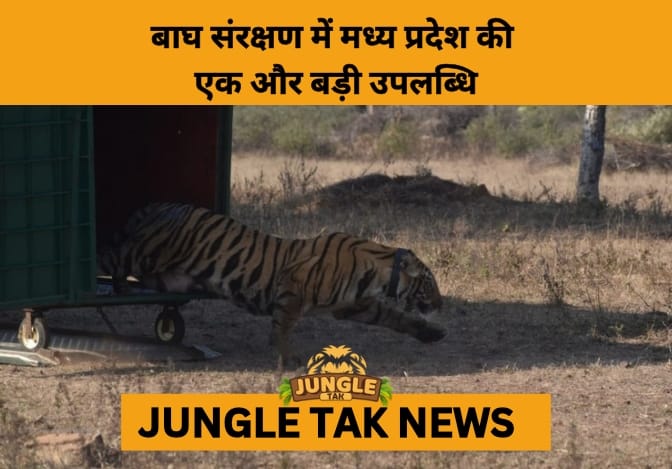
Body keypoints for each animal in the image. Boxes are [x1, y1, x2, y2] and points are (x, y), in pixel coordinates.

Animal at [98, 202, 446, 368]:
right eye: (430, 284)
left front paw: (431, 333)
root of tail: (162, 205)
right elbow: (283, 326)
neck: (379, 276)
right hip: (142, 255)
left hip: (164, 273)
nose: (441, 305)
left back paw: (124, 290)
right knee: (109, 259)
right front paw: (287, 356)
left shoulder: (354, 306)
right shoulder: (294, 289)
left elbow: (394, 317)